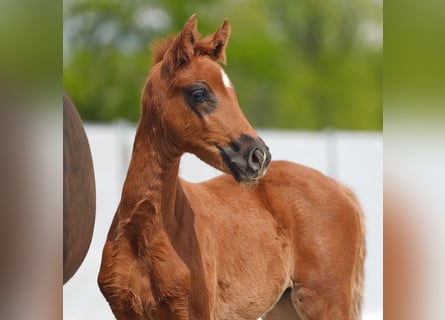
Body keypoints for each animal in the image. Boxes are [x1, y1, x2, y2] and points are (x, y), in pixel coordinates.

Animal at [98, 15, 364, 320]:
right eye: (199, 93)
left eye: (233, 92)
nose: (258, 156)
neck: (144, 235)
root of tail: (341, 189)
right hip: (284, 307)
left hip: (326, 303)